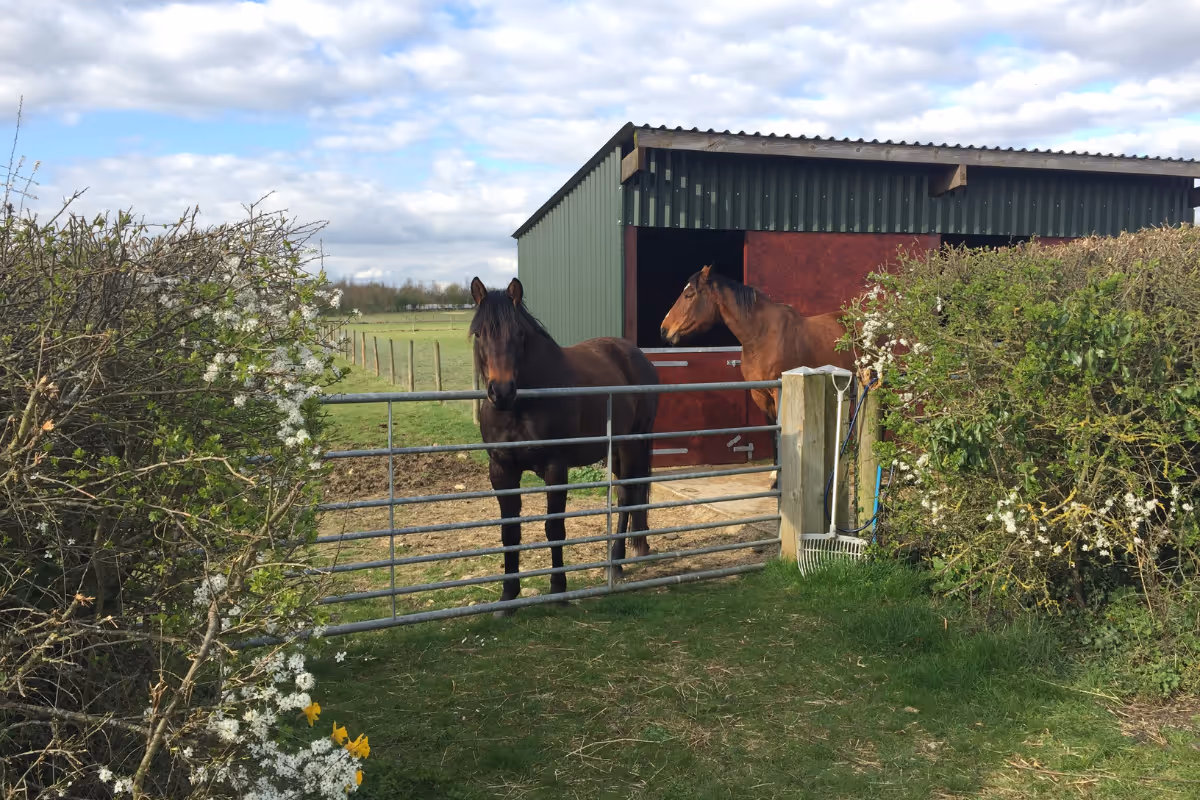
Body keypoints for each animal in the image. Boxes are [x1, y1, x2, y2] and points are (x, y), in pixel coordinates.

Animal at [470, 277, 660, 615]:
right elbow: (510, 532)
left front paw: (559, 590)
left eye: (519, 334)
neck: (521, 406)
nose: (501, 392)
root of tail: (634, 354)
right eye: (480, 334)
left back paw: (617, 563)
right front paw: (507, 597)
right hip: (614, 448)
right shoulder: (501, 470)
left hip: (632, 443)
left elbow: (554, 529)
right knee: (623, 495)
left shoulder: (555, 468)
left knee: (628, 495)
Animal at [659, 265, 855, 486]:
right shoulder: (760, 395)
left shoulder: (779, 393)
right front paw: (775, 476)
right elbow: (772, 432)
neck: (762, 336)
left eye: (689, 294)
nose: (664, 330)